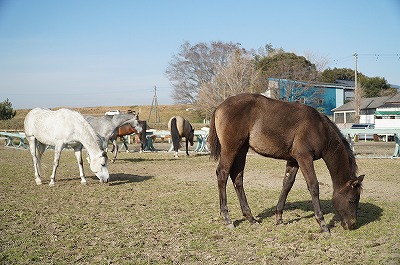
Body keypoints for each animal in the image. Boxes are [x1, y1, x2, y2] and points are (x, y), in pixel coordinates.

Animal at [208, 93, 364, 233]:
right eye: (352, 200)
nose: (352, 225)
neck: (320, 128)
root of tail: (220, 107)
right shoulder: (304, 157)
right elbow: (313, 186)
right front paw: (322, 224)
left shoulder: (294, 160)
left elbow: (287, 184)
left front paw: (279, 218)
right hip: (231, 148)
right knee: (222, 174)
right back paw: (227, 218)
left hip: (242, 149)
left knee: (237, 178)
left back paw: (250, 217)